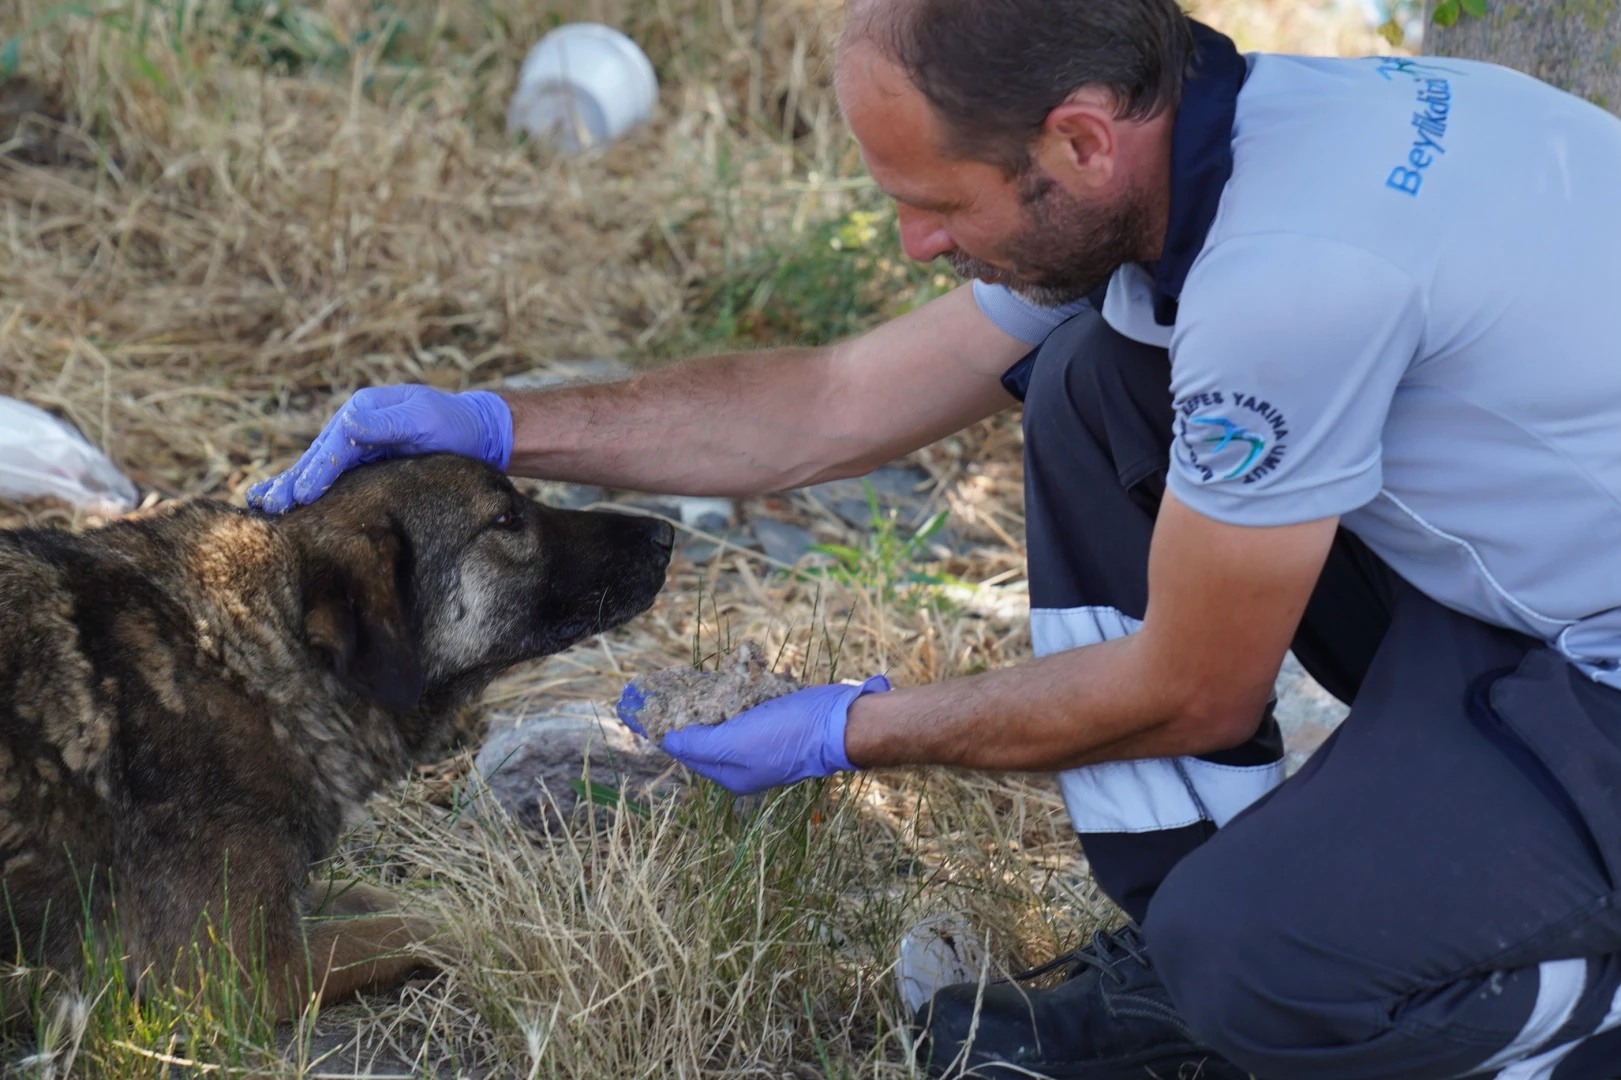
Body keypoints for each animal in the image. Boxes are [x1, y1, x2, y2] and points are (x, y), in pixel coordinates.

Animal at [0, 450, 671, 1018]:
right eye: (506, 518)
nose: (665, 534)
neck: (241, 660)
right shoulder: (239, 972)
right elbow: (430, 924)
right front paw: (509, 936)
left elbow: (399, 900)